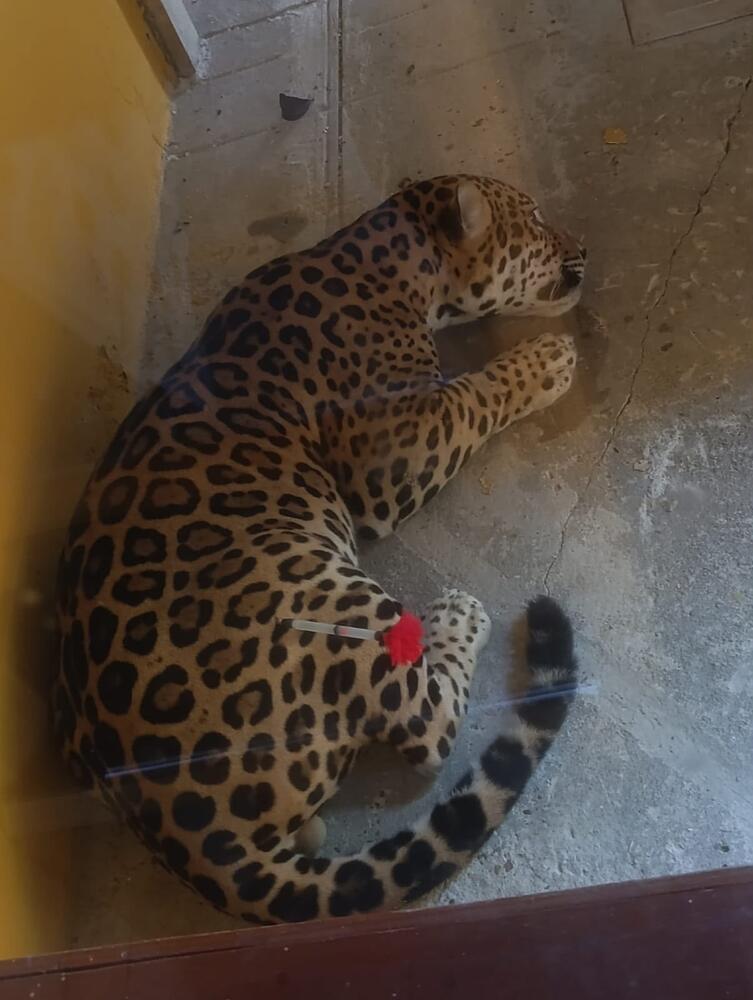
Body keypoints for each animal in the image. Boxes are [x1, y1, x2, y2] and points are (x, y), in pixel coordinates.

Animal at [54, 175, 585, 924]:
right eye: (535, 223)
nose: (584, 253)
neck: (390, 253)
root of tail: (194, 836)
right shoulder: (395, 452)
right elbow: (474, 392)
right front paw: (544, 362)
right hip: (328, 592)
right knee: (427, 727)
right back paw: (456, 617)